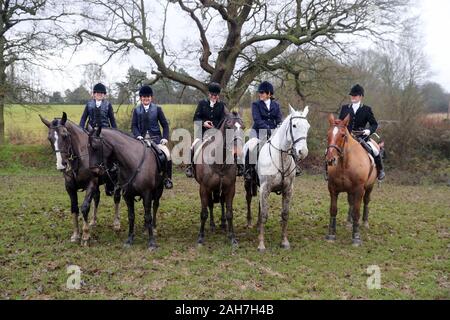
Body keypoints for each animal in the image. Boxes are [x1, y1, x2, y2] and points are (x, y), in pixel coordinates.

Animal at [40, 112, 120, 245]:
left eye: (65, 135)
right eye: (49, 138)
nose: (61, 164)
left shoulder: (91, 184)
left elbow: (84, 207)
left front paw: (86, 235)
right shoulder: (70, 187)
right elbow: (74, 208)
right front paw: (76, 234)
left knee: (117, 198)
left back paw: (116, 223)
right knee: (97, 198)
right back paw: (93, 221)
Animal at [192, 111, 244, 246]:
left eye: (243, 126)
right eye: (229, 126)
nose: (238, 150)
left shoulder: (230, 188)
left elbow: (229, 212)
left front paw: (232, 237)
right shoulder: (204, 188)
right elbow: (204, 213)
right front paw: (201, 237)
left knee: (221, 202)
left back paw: (223, 223)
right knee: (210, 204)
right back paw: (212, 225)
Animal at [251, 106, 312, 251]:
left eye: (308, 126)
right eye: (294, 125)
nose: (303, 152)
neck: (281, 157)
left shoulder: (288, 190)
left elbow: (285, 214)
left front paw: (284, 242)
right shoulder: (265, 188)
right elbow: (264, 215)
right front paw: (261, 244)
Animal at [326, 114, 378, 246]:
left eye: (343, 135)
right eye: (328, 134)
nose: (330, 160)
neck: (345, 163)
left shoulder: (359, 190)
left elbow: (356, 212)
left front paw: (356, 237)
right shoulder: (333, 189)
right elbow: (333, 210)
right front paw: (331, 235)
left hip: (370, 187)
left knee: (366, 201)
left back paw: (365, 222)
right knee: (351, 202)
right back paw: (349, 223)